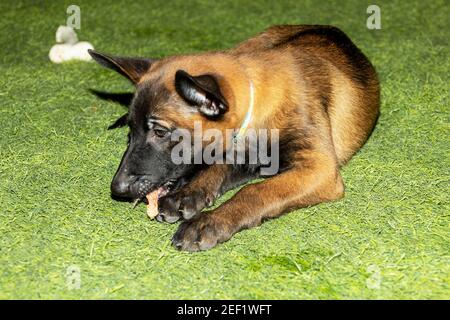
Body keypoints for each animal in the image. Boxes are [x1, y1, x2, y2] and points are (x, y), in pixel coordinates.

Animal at [89, 25, 378, 251]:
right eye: (131, 134)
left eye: (160, 132)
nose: (117, 188)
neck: (259, 104)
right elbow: (216, 169)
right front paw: (187, 195)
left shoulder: (318, 170)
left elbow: (255, 191)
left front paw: (209, 221)